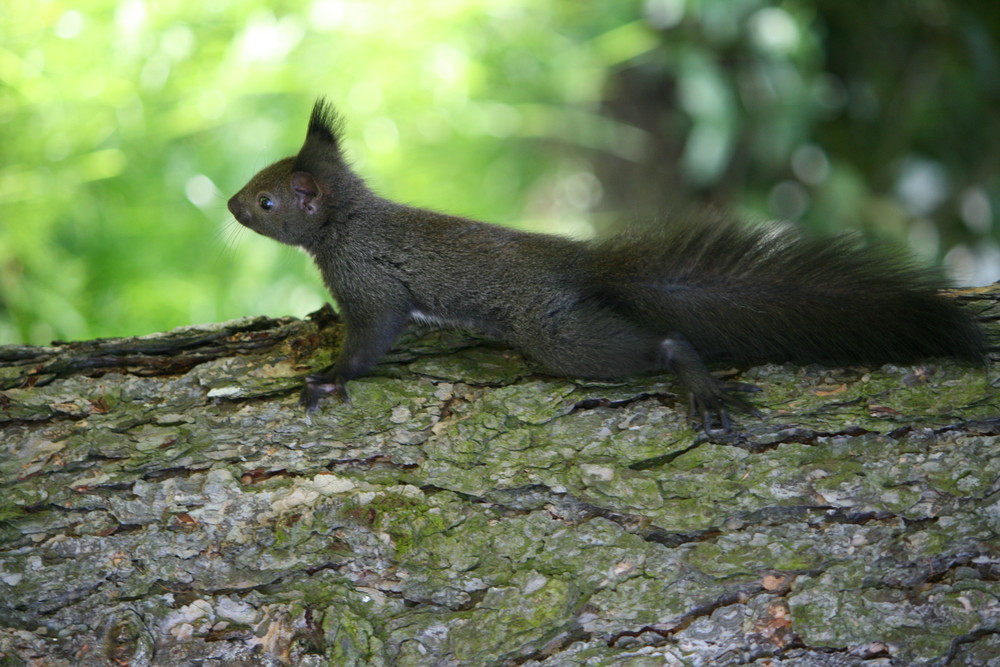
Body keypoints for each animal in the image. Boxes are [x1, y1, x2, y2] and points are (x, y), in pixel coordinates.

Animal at [230, 100, 988, 434]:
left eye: (267, 201)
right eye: (257, 183)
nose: (234, 204)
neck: (343, 222)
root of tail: (583, 263)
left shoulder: (372, 282)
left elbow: (371, 340)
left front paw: (328, 378)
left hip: (554, 334)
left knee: (662, 342)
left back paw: (694, 378)